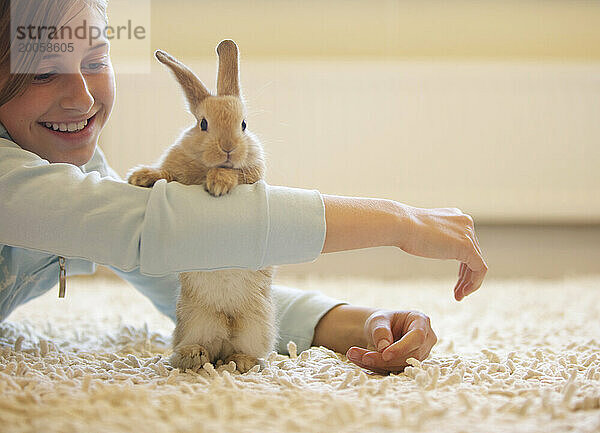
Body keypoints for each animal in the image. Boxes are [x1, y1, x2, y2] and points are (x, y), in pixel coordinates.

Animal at [127, 38, 278, 372]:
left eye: (243, 124)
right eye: (203, 124)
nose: (228, 148)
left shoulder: (252, 174)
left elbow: (235, 175)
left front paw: (219, 183)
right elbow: (167, 174)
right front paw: (140, 177)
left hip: (256, 325)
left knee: (246, 350)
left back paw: (240, 362)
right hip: (196, 320)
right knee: (203, 347)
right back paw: (194, 357)